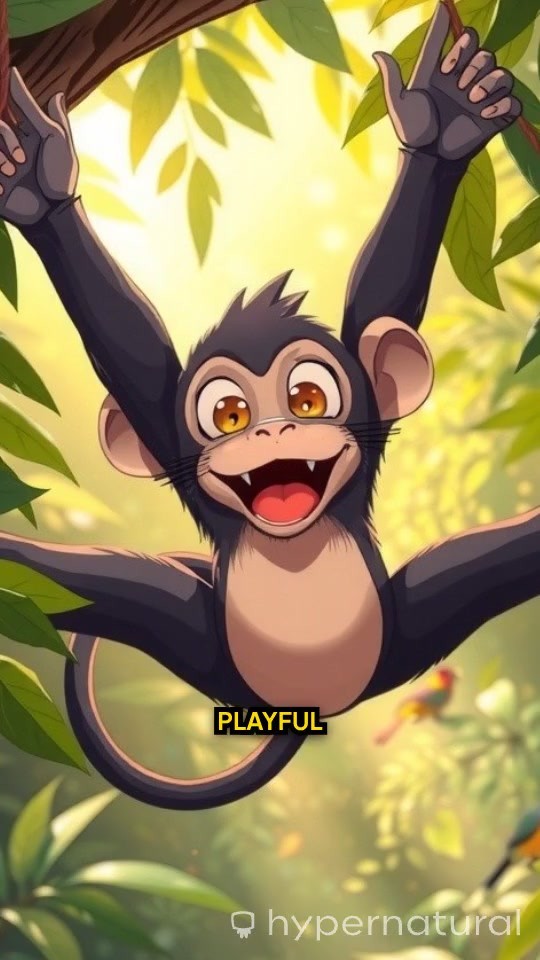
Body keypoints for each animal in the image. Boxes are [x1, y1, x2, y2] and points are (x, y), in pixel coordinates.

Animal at [0, 3, 535, 810]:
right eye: (227, 415)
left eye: (309, 398)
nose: (276, 428)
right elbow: (135, 362)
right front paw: (41, 189)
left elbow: (381, 300)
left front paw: (443, 127)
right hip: (195, 635)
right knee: (55, 577)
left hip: (404, 628)